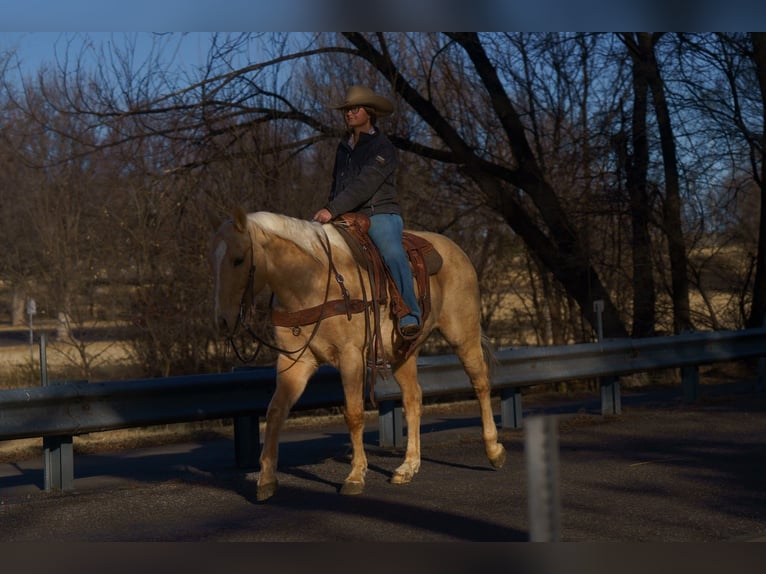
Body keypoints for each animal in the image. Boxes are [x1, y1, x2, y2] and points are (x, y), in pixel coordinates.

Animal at [209, 207, 506, 501]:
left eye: (238, 259)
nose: (222, 321)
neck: (312, 282)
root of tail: (457, 251)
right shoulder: (295, 362)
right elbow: (275, 412)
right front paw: (267, 479)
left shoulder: (350, 357)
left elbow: (353, 414)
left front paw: (355, 476)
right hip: (403, 353)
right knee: (413, 399)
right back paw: (408, 467)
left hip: (463, 335)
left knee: (480, 383)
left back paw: (493, 450)